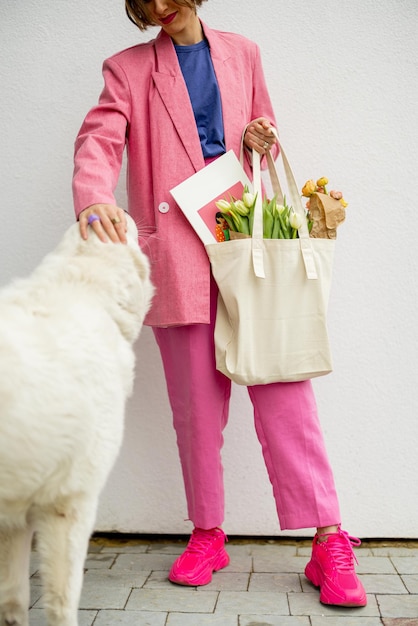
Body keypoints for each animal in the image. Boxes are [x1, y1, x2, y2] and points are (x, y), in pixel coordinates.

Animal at [0, 214, 154, 624]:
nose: (123, 213)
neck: (82, 289)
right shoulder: (70, 502)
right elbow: (62, 599)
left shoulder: (14, 517)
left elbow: (13, 598)